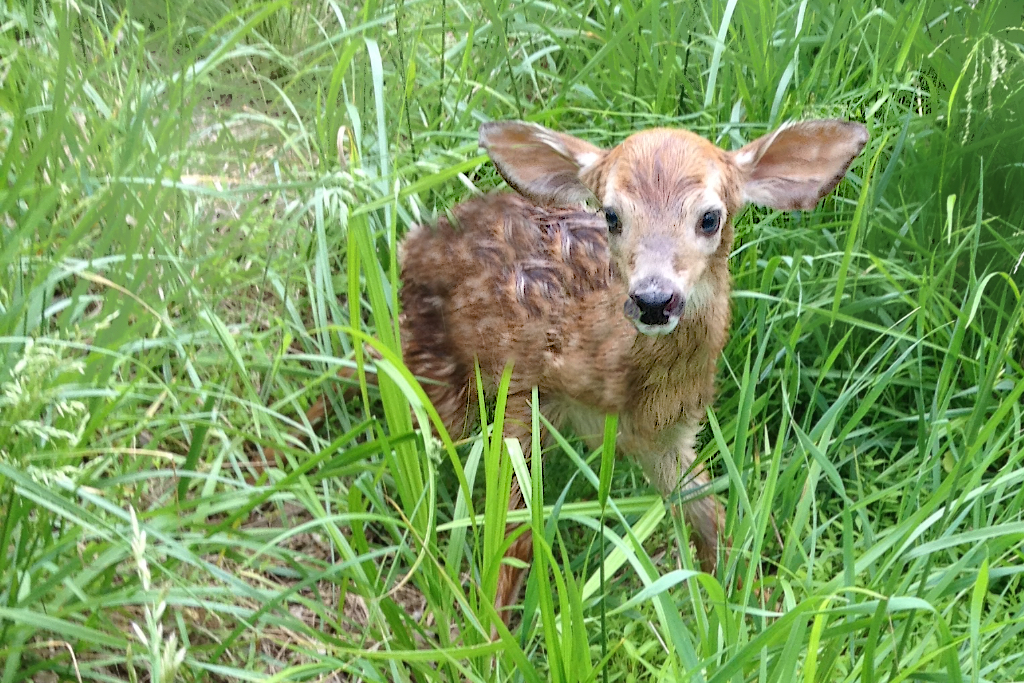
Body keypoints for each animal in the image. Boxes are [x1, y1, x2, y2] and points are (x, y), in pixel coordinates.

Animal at [302, 118, 867, 627]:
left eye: (710, 217)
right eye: (612, 215)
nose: (653, 300)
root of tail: (419, 237)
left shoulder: (668, 434)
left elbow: (708, 511)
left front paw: (744, 600)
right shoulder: (521, 398)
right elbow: (514, 534)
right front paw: (490, 639)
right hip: (432, 358)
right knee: (362, 368)